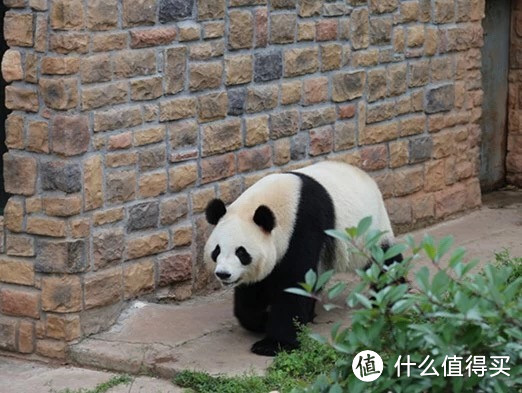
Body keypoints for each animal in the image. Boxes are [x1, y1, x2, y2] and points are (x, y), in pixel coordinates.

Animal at [203, 159, 398, 356]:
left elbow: (294, 283)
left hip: (370, 230)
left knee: (384, 262)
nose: (223, 274)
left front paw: (272, 344)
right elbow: (253, 290)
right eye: (217, 251)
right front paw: (262, 320)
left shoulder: (303, 227)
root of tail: (367, 177)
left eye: (241, 252)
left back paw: (389, 300)